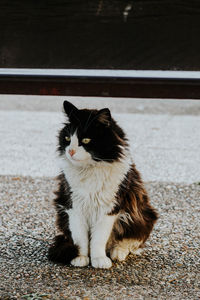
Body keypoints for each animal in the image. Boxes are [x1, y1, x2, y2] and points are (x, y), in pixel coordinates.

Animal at [48, 101, 158, 270]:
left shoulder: (109, 208)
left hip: (141, 216)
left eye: (86, 140)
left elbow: (99, 238)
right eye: (67, 138)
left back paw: (117, 252)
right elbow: (80, 237)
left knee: (131, 242)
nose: (71, 151)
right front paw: (80, 257)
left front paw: (99, 259)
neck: (89, 169)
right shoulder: (73, 205)